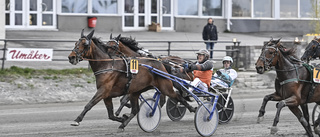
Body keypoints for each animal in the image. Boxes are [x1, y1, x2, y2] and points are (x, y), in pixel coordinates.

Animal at [68, 29, 196, 131]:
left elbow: (89, 105)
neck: (107, 65)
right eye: (75, 43)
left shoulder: (103, 91)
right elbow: (111, 114)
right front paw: (122, 118)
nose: (71, 57)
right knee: (136, 109)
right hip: (137, 91)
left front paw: (77, 120)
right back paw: (125, 123)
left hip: (165, 87)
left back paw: (192, 108)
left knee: (178, 97)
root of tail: (161, 63)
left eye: (85, 44)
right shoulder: (107, 95)